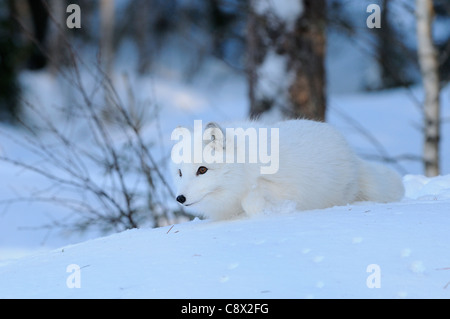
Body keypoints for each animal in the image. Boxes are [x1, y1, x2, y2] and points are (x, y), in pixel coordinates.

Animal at [171, 119, 404, 221]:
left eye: (202, 170)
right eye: (180, 173)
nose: (180, 198)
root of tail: (353, 155)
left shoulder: (290, 189)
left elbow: (253, 197)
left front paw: (262, 209)